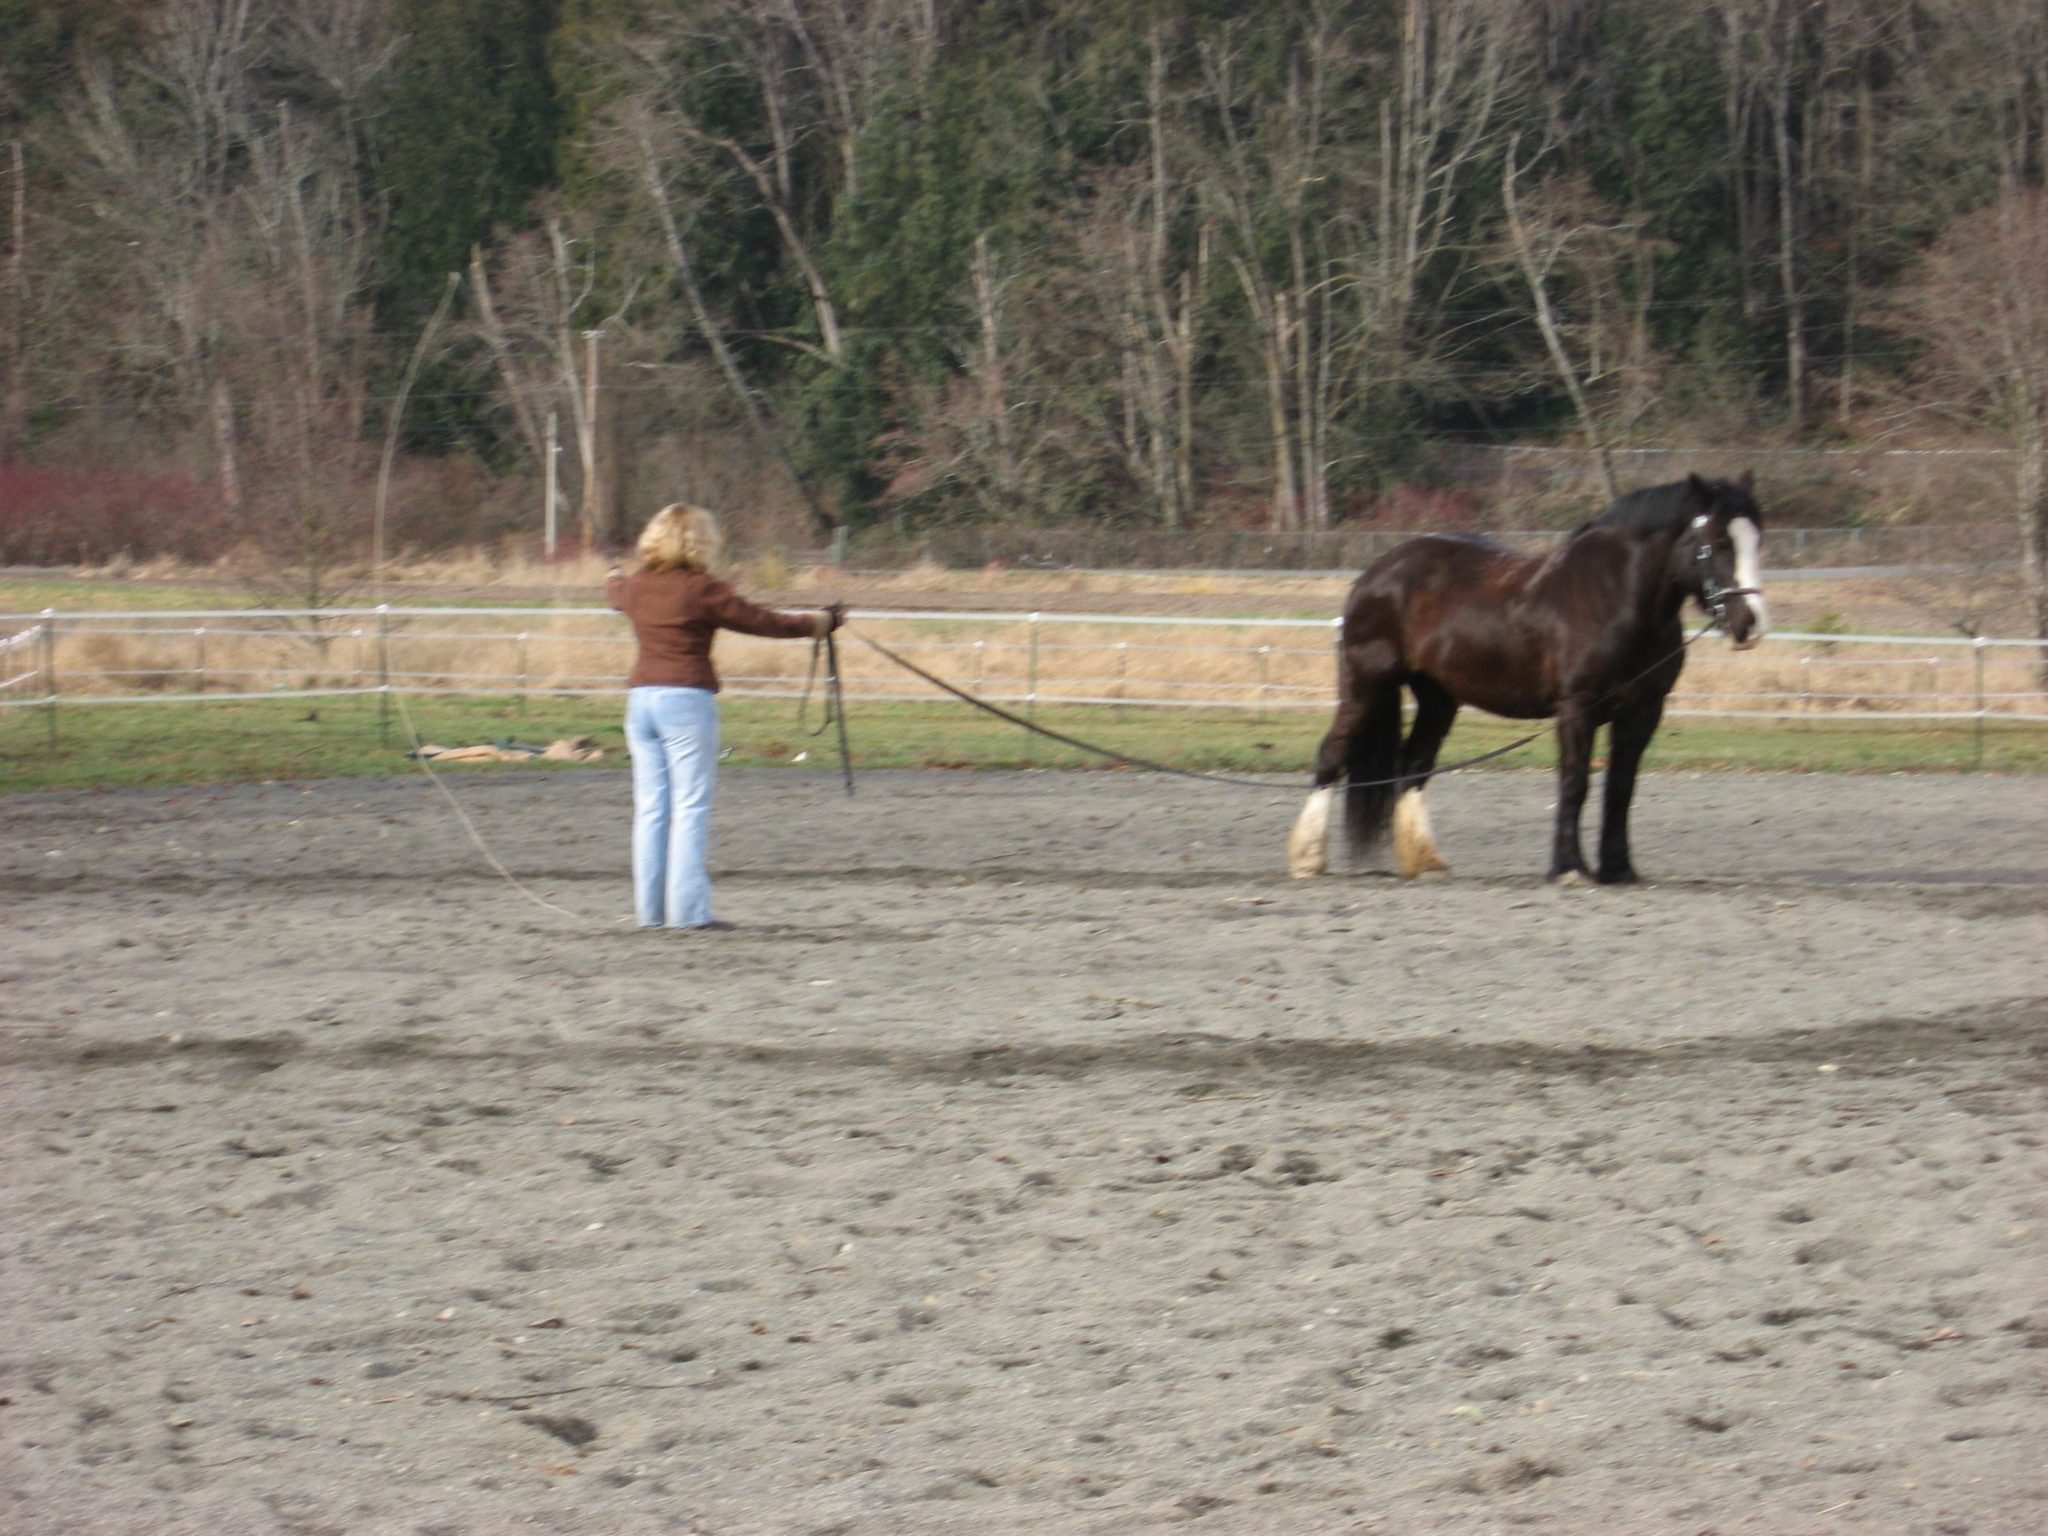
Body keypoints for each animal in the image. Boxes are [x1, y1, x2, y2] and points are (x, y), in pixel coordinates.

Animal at [1286, 473, 1768, 886]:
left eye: (1757, 539)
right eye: (1719, 541)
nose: (1751, 623)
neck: (1614, 596)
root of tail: (1374, 575)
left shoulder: (1643, 712)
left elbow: (1620, 788)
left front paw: (1618, 869)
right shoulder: (1577, 708)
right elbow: (1575, 782)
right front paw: (1570, 868)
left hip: (1438, 697)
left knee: (1415, 763)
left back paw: (1424, 860)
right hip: (1367, 686)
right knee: (1332, 755)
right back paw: (1308, 860)